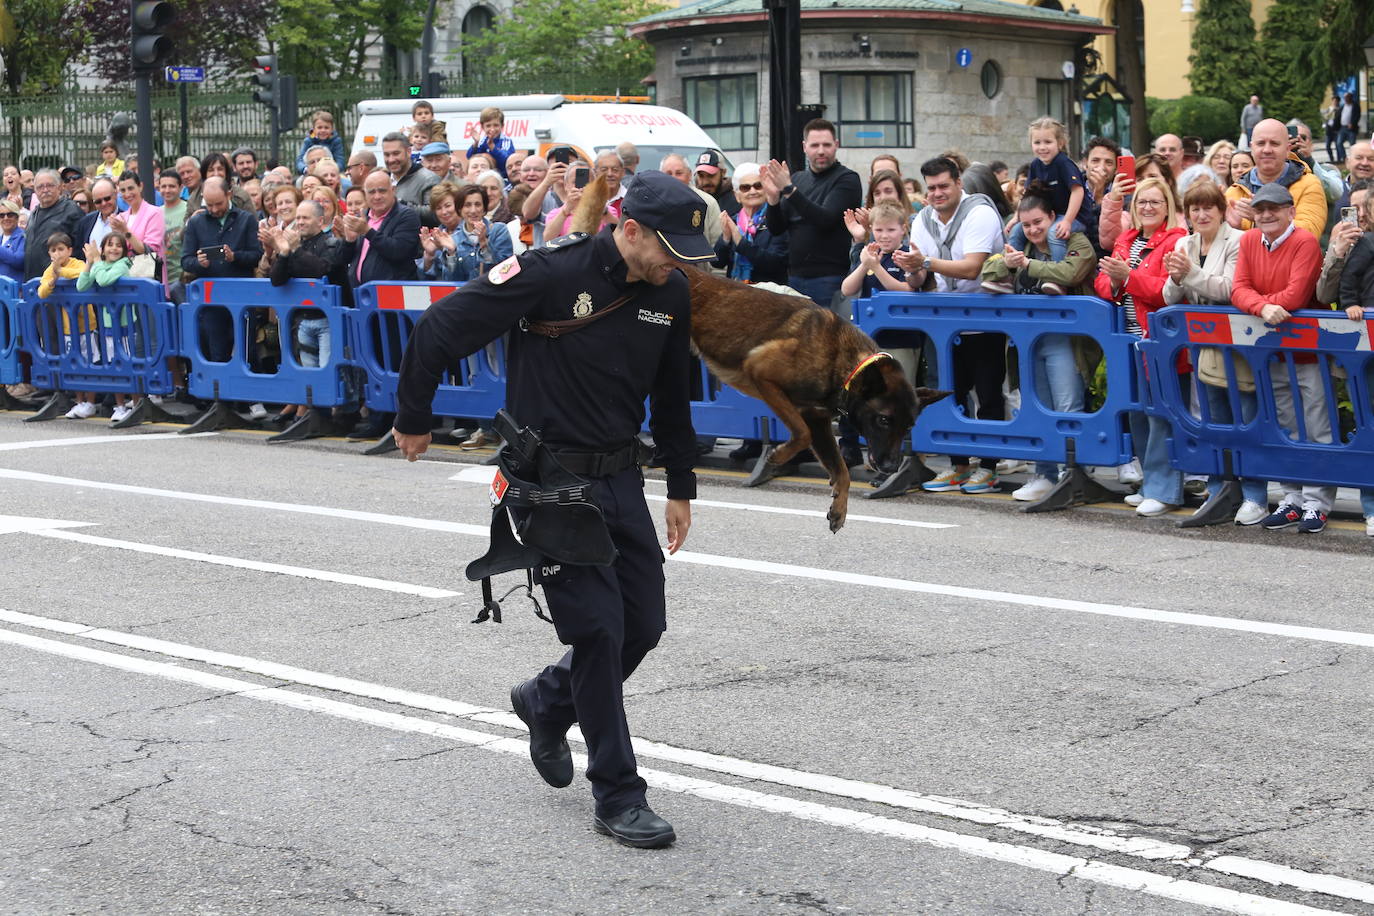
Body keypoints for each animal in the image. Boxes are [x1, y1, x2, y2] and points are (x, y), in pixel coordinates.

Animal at [566, 173, 945, 530]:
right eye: (884, 419)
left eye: (910, 425)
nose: (891, 466)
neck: (844, 361)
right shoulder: (766, 378)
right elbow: (800, 434)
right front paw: (778, 456)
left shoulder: (818, 419)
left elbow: (841, 468)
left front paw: (839, 505)